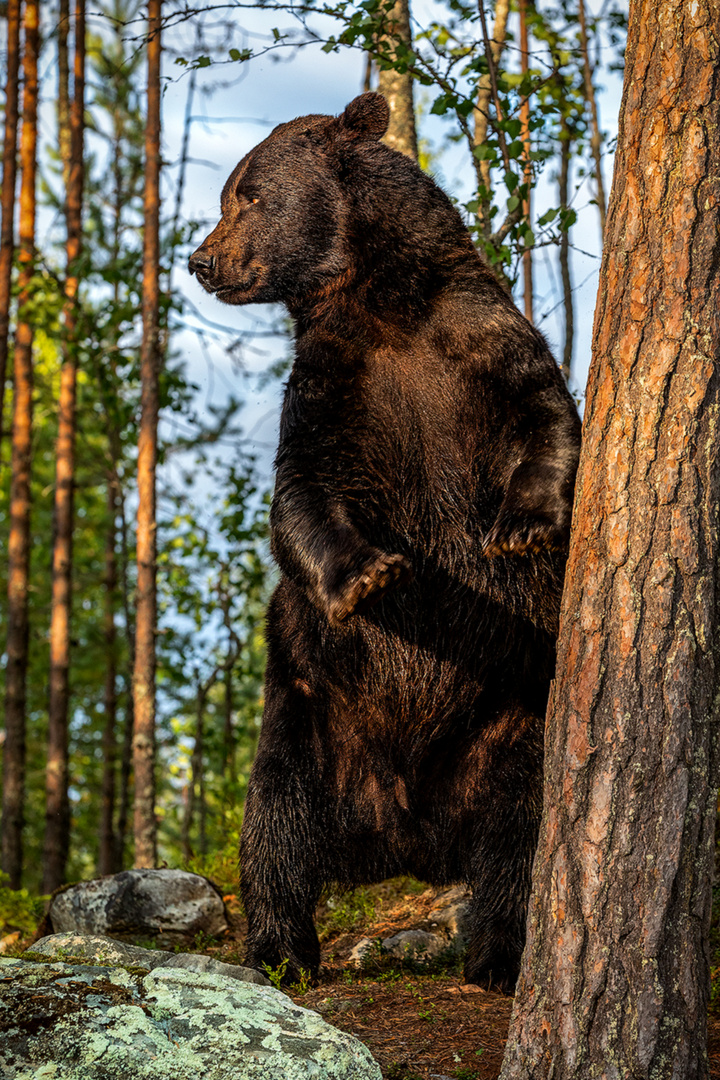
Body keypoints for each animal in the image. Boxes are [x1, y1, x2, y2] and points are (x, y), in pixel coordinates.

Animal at [188, 90, 582, 989]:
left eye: (246, 195)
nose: (201, 260)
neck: (382, 301)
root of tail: (406, 839)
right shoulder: (335, 384)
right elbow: (300, 497)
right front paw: (370, 575)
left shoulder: (480, 345)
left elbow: (548, 416)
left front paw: (522, 527)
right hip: (308, 721)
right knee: (276, 827)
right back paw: (281, 951)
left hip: (513, 723)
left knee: (520, 837)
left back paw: (500, 956)